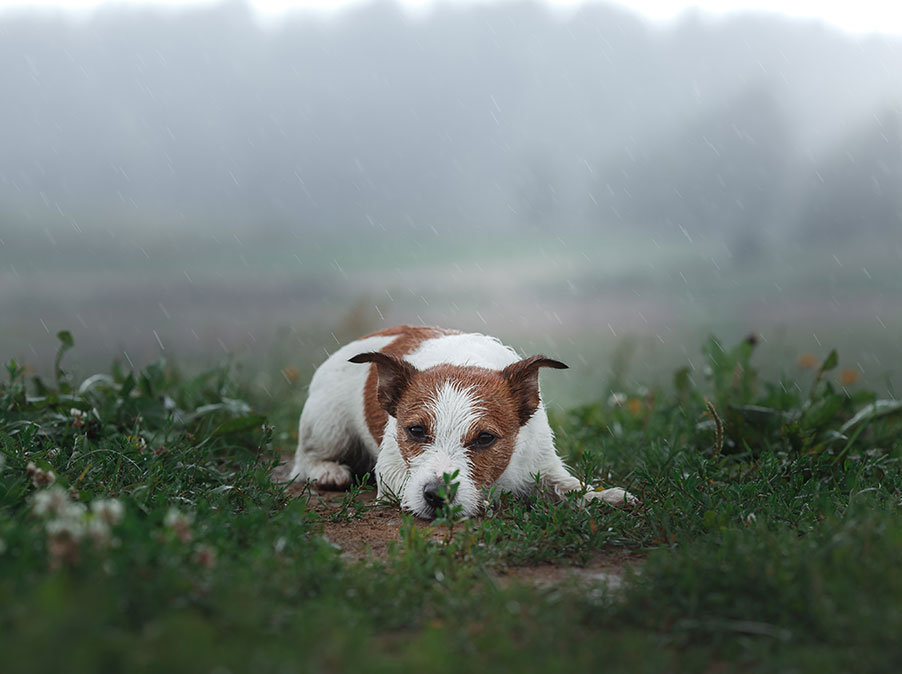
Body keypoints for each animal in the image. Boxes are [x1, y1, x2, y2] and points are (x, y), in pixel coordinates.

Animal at [290, 322, 636, 516]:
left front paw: (602, 495)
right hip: (328, 426)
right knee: (306, 457)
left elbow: (569, 486)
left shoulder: (542, 464)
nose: (437, 495)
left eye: (485, 438)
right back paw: (327, 470)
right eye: (416, 430)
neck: (464, 361)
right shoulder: (390, 470)